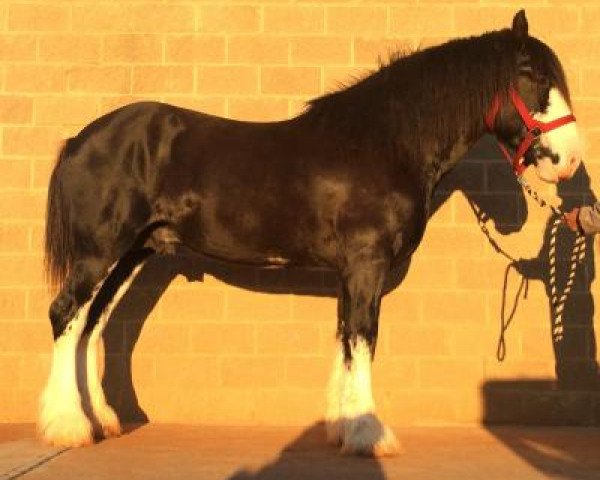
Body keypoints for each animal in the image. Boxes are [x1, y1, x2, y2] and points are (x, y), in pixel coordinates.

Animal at [38, 9, 580, 456]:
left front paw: (342, 428)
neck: (385, 142)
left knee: (91, 323)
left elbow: (345, 337)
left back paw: (101, 420)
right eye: (535, 77)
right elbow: (363, 337)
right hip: (99, 252)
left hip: (132, 252)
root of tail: (81, 140)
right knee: (66, 314)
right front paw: (368, 435)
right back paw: (68, 427)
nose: (569, 161)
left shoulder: (350, 272)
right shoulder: (365, 265)